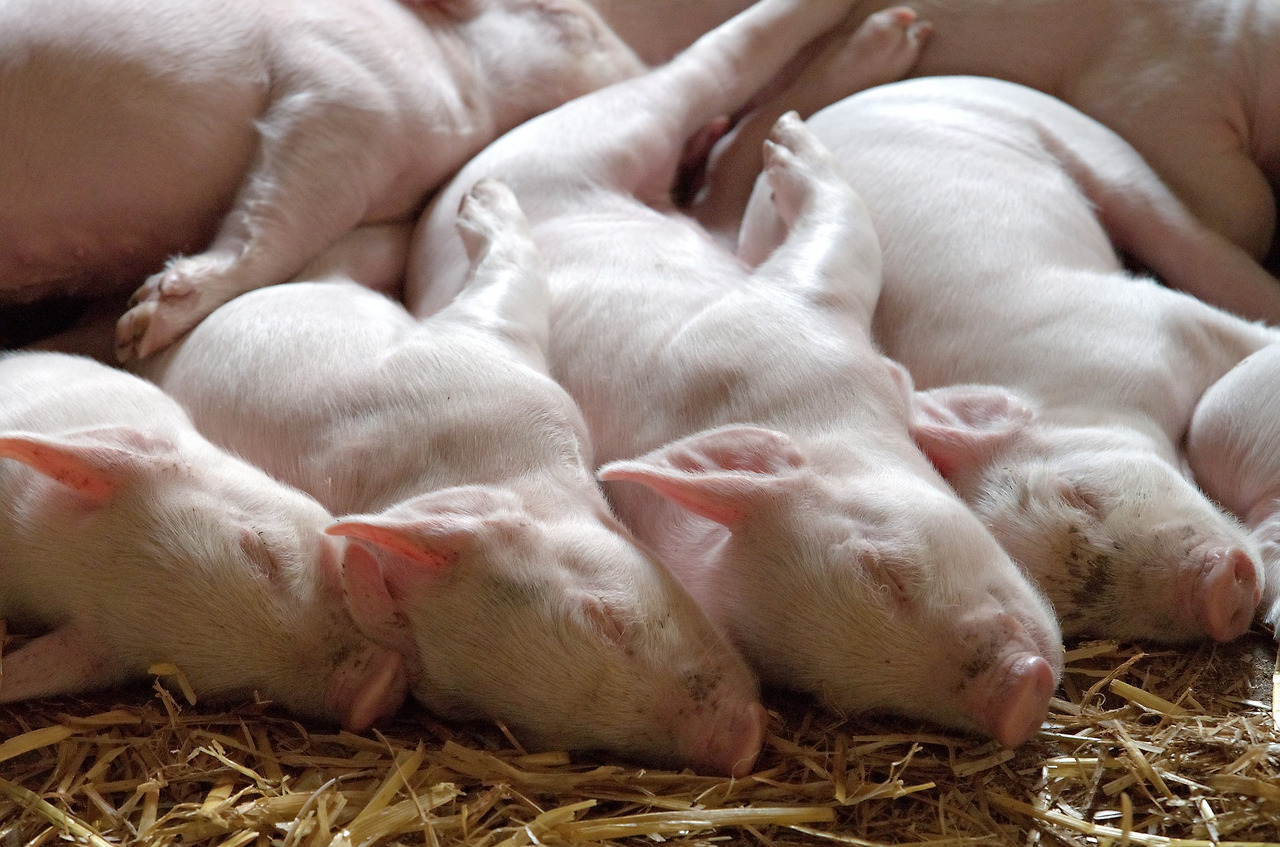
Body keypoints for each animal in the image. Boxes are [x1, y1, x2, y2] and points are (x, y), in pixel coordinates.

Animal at [0, 0, 644, 360]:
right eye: (569, 20)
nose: (645, 67)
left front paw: (119, 331)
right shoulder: (346, 94)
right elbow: (278, 215)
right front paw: (140, 327)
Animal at [136, 179, 767, 776]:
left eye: (607, 618)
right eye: (534, 726)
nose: (742, 749)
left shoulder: (482, 359)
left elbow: (511, 282)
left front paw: (483, 193)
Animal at [404, 1, 1065, 749]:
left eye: (885, 569)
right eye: (831, 692)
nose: (1020, 697)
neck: (804, 410)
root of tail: (446, 203)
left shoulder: (785, 310)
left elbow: (844, 235)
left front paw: (798, 149)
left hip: (601, 138)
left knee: (704, 87)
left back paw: (866, 59)